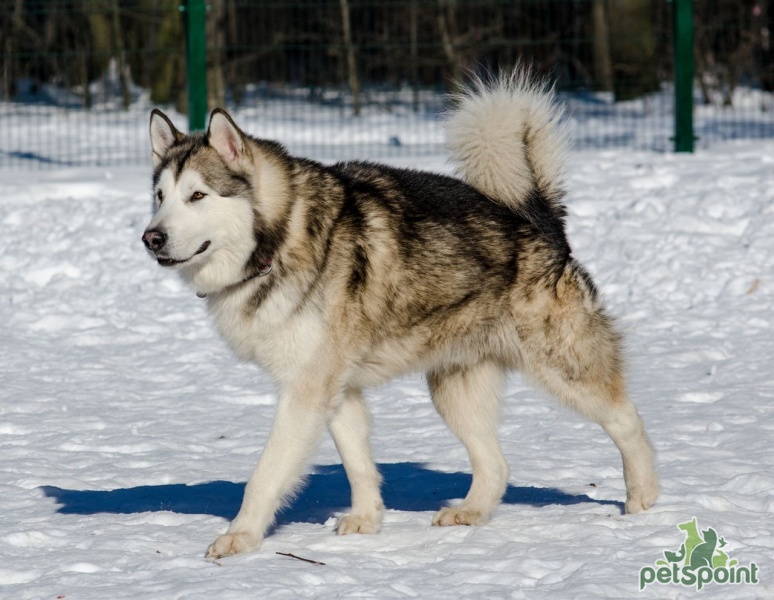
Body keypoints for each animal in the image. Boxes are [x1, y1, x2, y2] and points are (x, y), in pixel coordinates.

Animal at [142, 70, 656, 556]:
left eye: (198, 196)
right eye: (160, 197)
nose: (151, 238)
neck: (280, 238)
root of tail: (540, 220)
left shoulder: (305, 392)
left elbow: (265, 474)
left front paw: (240, 537)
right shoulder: (336, 391)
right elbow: (358, 464)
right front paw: (367, 521)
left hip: (565, 371)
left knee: (628, 418)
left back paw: (644, 498)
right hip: (453, 391)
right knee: (496, 464)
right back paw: (471, 512)